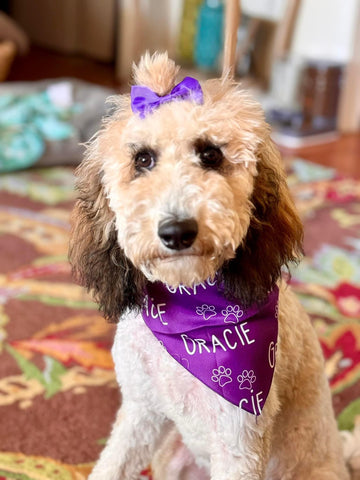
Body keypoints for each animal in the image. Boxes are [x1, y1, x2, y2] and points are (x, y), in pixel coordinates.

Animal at [69, 53, 350, 480]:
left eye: (211, 154)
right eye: (143, 159)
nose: (177, 231)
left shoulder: (240, 439)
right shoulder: (141, 412)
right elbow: (111, 465)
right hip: (172, 455)